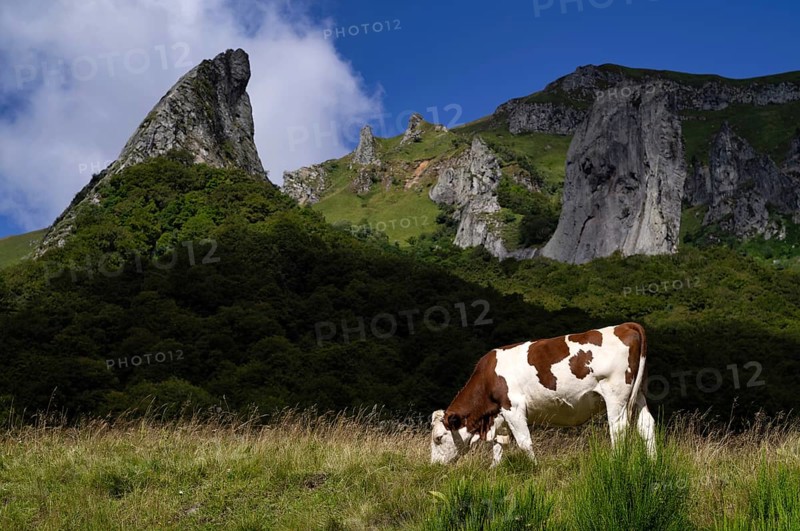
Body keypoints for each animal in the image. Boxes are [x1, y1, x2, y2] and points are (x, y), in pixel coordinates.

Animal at [430, 323, 655, 466]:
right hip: (639, 394)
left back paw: (616, 462)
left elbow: (524, 442)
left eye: (439, 438)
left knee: (619, 429)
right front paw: (494, 469)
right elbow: (499, 444)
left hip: (616, 395)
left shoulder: (513, 407)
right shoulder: (499, 414)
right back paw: (653, 462)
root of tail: (625, 325)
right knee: (647, 426)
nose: (434, 465)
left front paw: (534, 468)